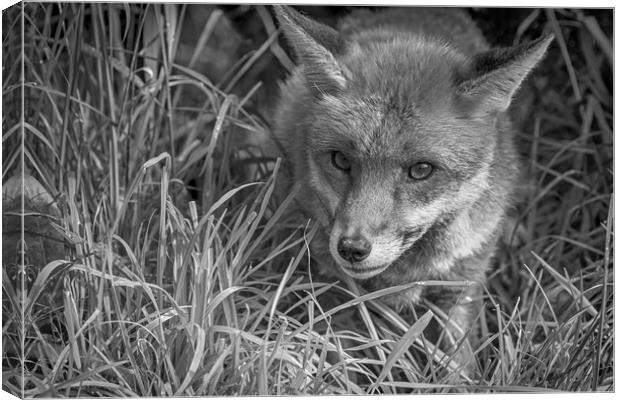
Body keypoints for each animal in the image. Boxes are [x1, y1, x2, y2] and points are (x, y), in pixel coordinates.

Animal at [272, 4, 552, 370]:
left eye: (421, 170)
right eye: (341, 161)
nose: (352, 248)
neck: (405, 273)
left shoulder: (459, 289)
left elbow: (460, 366)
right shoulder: (331, 283)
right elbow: (339, 354)